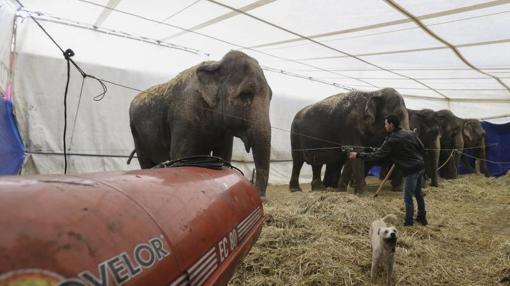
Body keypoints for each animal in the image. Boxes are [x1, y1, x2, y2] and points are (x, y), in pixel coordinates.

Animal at [128, 50, 270, 197]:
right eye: (245, 94)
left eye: (270, 96)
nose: (262, 196)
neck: (216, 65)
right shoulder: (184, 118)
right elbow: (181, 156)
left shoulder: (224, 132)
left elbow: (224, 155)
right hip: (137, 134)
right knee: (145, 162)